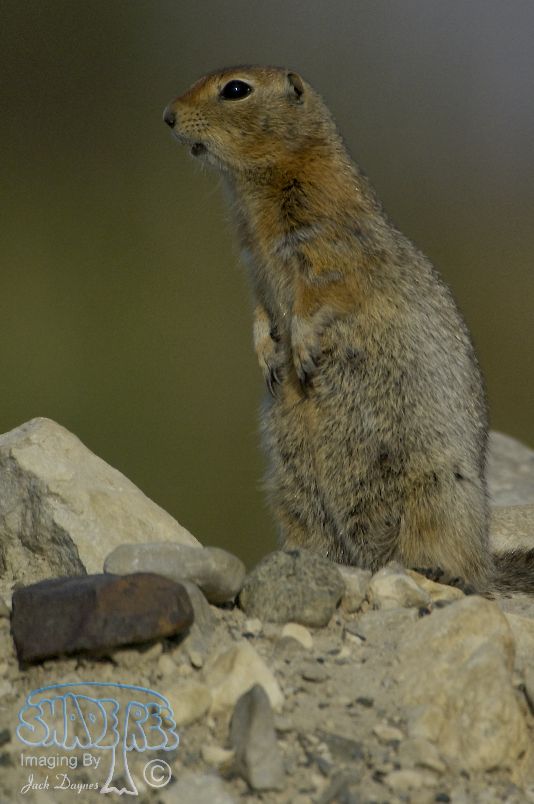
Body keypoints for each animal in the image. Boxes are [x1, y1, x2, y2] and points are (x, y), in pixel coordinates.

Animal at [163, 65, 534, 595]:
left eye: (236, 89)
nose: (167, 116)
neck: (261, 189)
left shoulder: (327, 244)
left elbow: (321, 296)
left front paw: (300, 349)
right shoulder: (254, 265)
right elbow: (260, 309)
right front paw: (267, 356)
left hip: (437, 489)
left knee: (459, 563)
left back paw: (441, 571)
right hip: (292, 489)